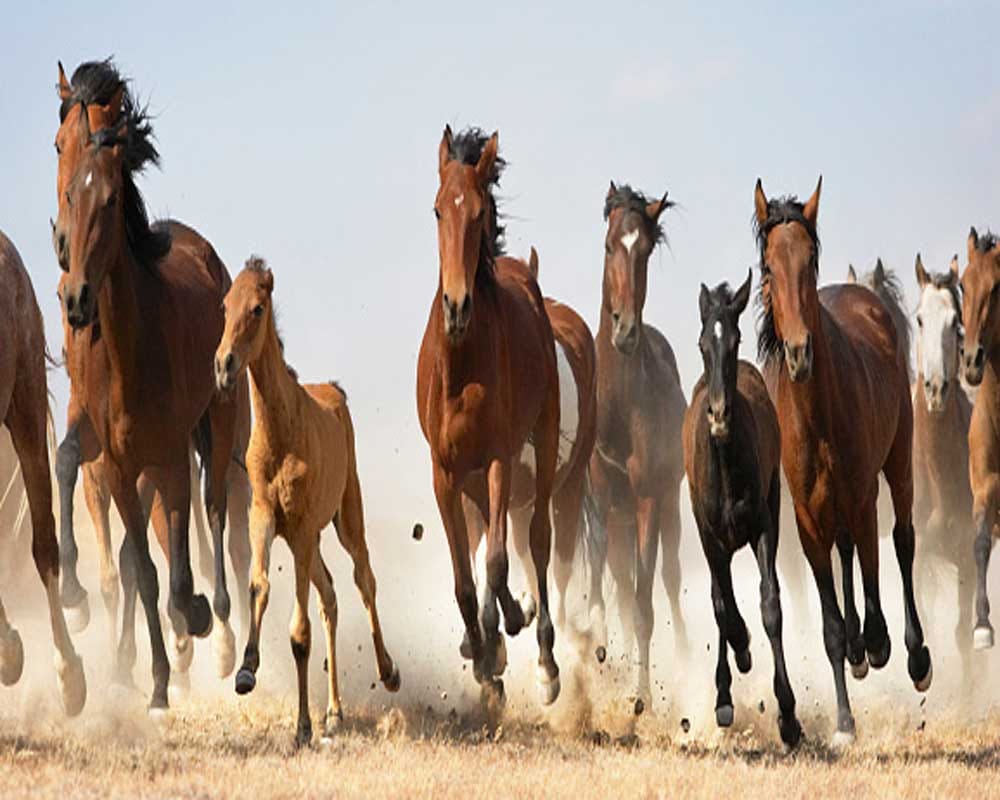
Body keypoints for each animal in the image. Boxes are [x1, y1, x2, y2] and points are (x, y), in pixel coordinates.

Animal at [56, 59, 242, 709]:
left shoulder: (166, 457)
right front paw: (158, 683)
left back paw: (217, 626)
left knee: (215, 509)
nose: (76, 297)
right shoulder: (114, 464)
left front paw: (195, 620)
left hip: (215, 421)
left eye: (111, 197)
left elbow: (180, 570)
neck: (126, 352)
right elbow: (146, 566)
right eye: (69, 185)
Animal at [216, 258, 400, 746]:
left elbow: (299, 635)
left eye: (257, 308)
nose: (223, 365)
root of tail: (335, 392)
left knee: (363, 580)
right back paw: (334, 712)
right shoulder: (264, 518)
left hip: (345, 519)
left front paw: (301, 728)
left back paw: (388, 671)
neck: (282, 433)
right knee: (330, 595)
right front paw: (246, 670)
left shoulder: (298, 530)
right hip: (313, 540)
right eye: (224, 305)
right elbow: (259, 586)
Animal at [754, 177, 932, 746]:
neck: (819, 413)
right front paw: (845, 721)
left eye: (809, 261)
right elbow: (831, 623)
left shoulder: (862, 496)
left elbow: (877, 571)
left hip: (898, 464)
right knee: (848, 552)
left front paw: (880, 644)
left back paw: (911, 655)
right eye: (769, 266)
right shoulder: (807, 519)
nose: (798, 352)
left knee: (901, 542)